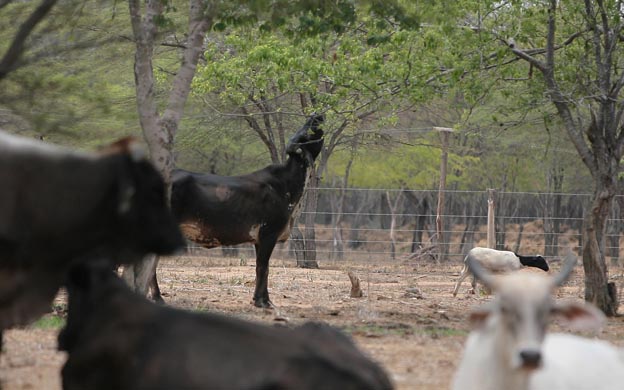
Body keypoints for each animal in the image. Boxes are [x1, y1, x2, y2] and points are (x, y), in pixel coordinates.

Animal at [151, 112, 324, 308]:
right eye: (307, 134)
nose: (317, 115)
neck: (285, 184)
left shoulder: (259, 239)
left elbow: (262, 268)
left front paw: (263, 299)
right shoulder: (268, 234)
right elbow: (263, 267)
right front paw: (262, 302)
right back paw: (157, 297)